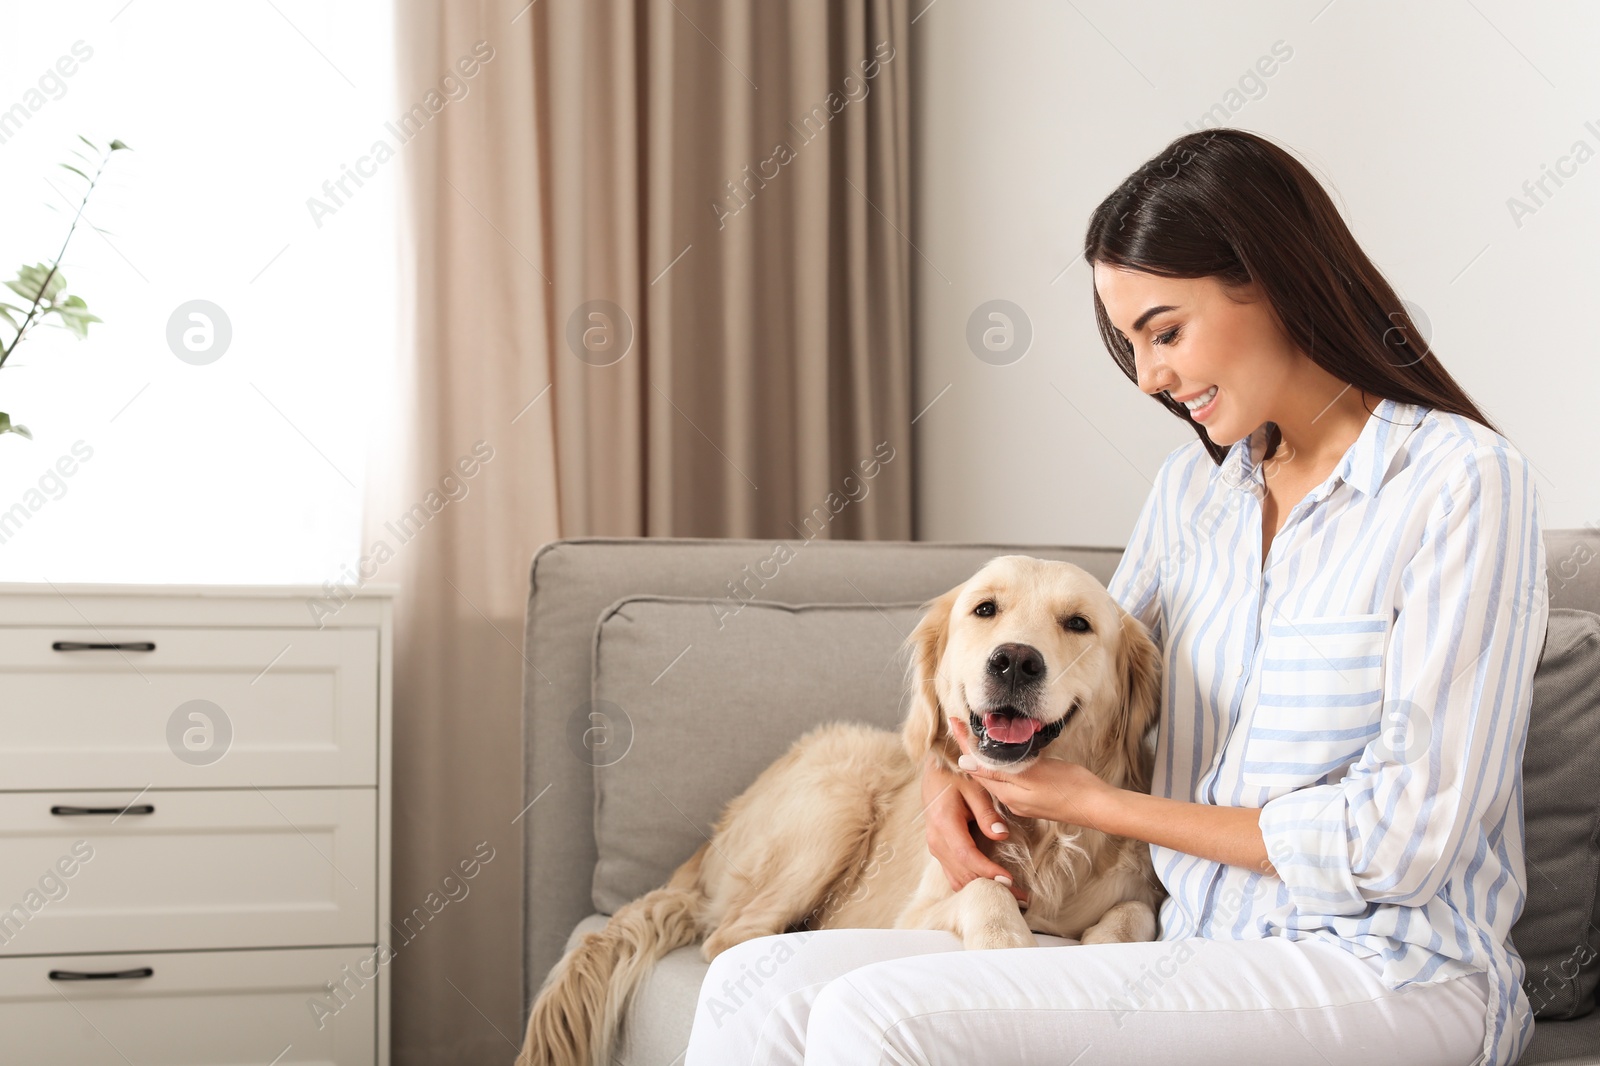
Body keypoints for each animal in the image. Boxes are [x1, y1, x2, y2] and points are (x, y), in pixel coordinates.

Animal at [521, 550, 1164, 1056]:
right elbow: (984, 890)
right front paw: (1007, 943)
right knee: (729, 938)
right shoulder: (921, 908)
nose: (1013, 661)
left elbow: (1138, 913)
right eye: (985, 610)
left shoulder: (1133, 889)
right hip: (840, 796)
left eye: (1078, 623)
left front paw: (1103, 944)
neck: (1041, 832)